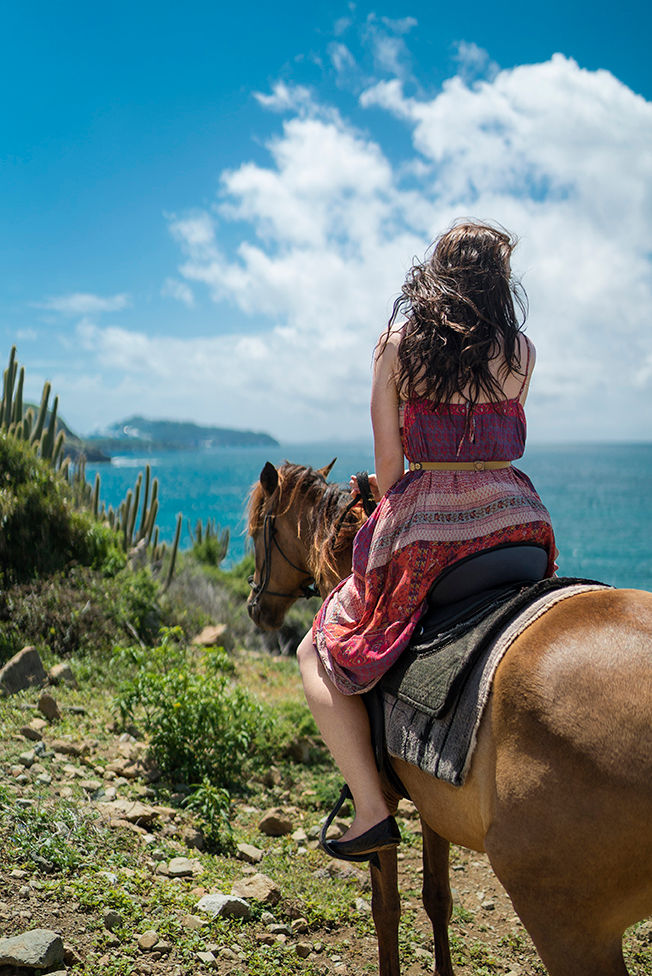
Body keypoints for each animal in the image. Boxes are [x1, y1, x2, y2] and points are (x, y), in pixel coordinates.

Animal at [247, 460, 652, 976]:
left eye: (259, 530)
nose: (256, 607)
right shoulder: (433, 801)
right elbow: (437, 897)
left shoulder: (385, 799)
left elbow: (386, 908)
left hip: (566, 922)